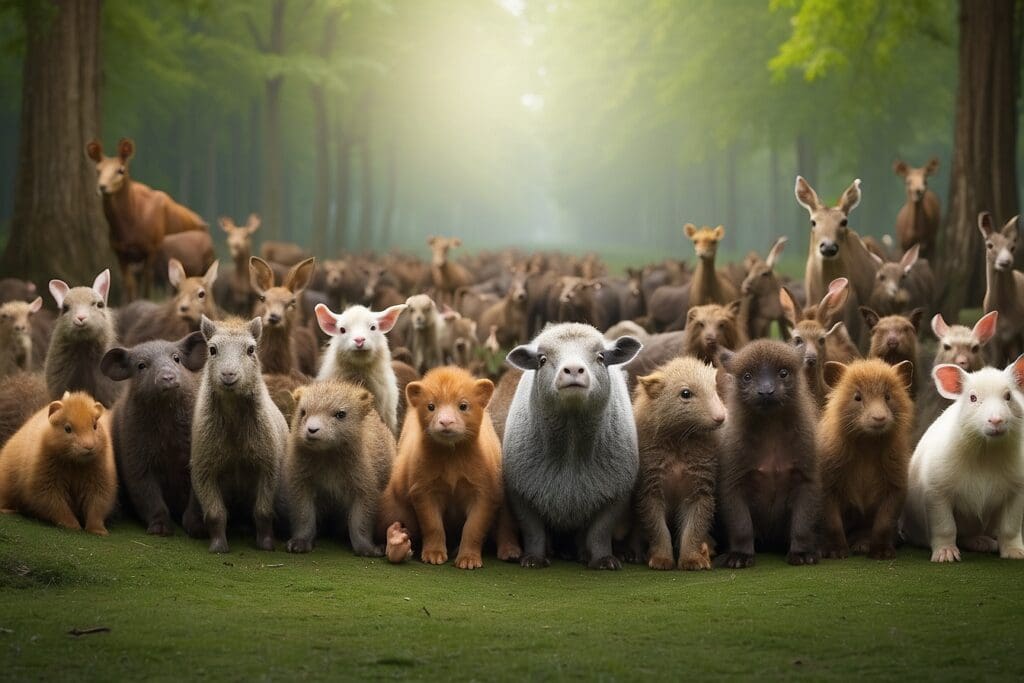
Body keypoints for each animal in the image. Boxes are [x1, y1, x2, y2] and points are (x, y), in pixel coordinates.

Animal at [85, 138, 208, 302]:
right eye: (98, 170)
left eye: (121, 170)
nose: (102, 187)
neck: (129, 225)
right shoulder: (120, 251)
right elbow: (129, 284)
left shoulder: (151, 248)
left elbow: (147, 284)